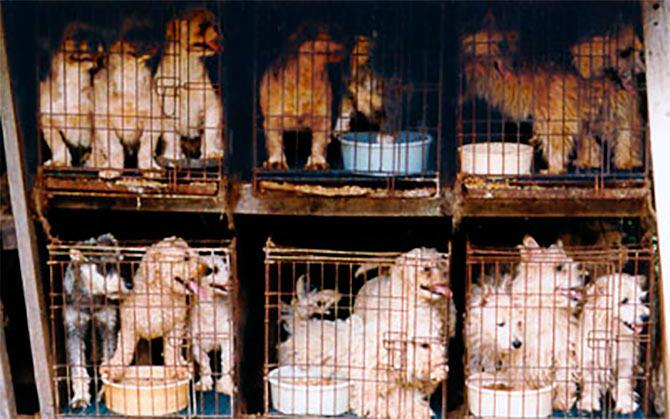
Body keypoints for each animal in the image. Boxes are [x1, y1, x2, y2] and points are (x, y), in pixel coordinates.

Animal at [40, 21, 101, 166]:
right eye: (77, 35)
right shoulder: (47, 118)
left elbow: (98, 144)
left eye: (96, 33)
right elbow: (57, 143)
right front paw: (60, 161)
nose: (95, 40)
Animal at [100, 238, 207, 382]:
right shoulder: (130, 326)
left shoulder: (176, 326)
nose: (208, 269)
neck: (160, 292)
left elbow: (172, 350)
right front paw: (114, 369)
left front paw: (177, 369)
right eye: (186, 258)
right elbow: (124, 348)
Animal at [462, 23, 644, 175]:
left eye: (633, 53)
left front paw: (554, 168)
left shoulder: (556, 115)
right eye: (626, 53)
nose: (640, 72)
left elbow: (555, 142)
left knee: (625, 132)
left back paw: (625, 160)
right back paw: (589, 161)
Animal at [576, 274, 652, 416]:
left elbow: (623, 383)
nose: (646, 317)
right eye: (624, 301)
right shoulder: (588, 361)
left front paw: (625, 404)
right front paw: (588, 403)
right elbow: (589, 383)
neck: (611, 333)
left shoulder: (624, 362)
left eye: (640, 299)